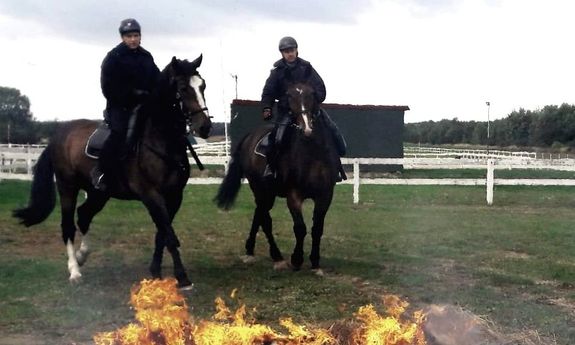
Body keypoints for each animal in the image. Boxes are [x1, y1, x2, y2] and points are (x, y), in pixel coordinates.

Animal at [12, 55, 212, 288]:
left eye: (202, 85)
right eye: (182, 88)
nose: (205, 127)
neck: (160, 140)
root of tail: (58, 136)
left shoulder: (174, 197)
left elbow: (161, 235)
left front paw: (155, 271)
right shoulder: (151, 195)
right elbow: (169, 236)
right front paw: (182, 277)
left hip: (98, 193)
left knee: (84, 216)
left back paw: (82, 256)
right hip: (67, 187)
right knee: (68, 226)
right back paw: (74, 270)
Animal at [214, 81, 340, 272]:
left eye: (312, 95)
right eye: (289, 97)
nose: (306, 128)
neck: (312, 153)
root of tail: (250, 136)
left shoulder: (325, 195)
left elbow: (317, 228)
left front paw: (315, 263)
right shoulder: (293, 195)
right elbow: (300, 228)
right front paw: (297, 259)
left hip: (268, 193)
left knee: (259, 214)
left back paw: (250, 250)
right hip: (259, 189)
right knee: (265, 220)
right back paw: (277, 256)